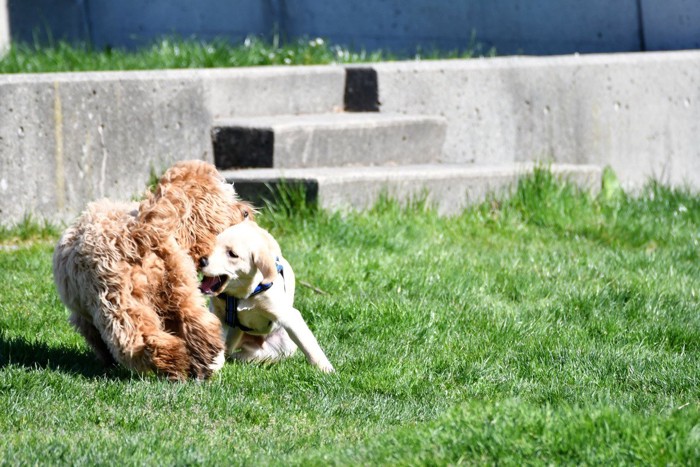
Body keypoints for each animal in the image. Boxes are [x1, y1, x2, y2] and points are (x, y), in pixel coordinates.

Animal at [52, 161, 254, 380]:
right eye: (225, 204)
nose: (246, 212)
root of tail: (135, 232)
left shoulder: (85, 316)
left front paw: (106, 360)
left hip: (118, 303)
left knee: (138, 339)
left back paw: (174, 365)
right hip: (178, 287)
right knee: (199, 322)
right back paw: (202, 363)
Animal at [200, 219, 334, 372]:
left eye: (232, 254)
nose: (202, 261)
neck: (242, 294)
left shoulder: (288, 316)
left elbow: (308, 345)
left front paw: (325, 369)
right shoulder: (217, 313)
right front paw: (213, 366)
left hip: (284, 345)